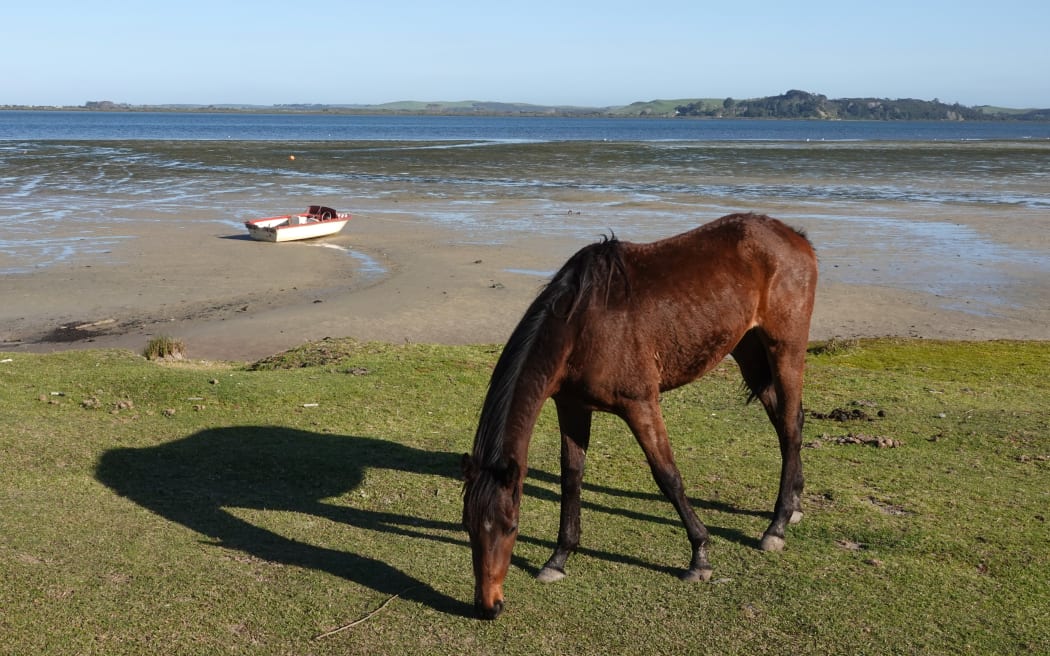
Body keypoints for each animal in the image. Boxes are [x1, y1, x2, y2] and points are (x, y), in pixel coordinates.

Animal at [461, 213, 818, 619]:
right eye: (468, 526)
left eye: (510, 527)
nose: (488, 605)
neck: (582, 325)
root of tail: (792, 235)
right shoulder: (572, 408)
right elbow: (572, 478)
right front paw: (559, 558)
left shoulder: (640, 404)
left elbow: (668, 476)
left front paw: (700, 556)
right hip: (748, 350)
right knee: (787, 422)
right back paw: (794, 506)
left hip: (785, 347)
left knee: (790, 427)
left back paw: (776, 526)